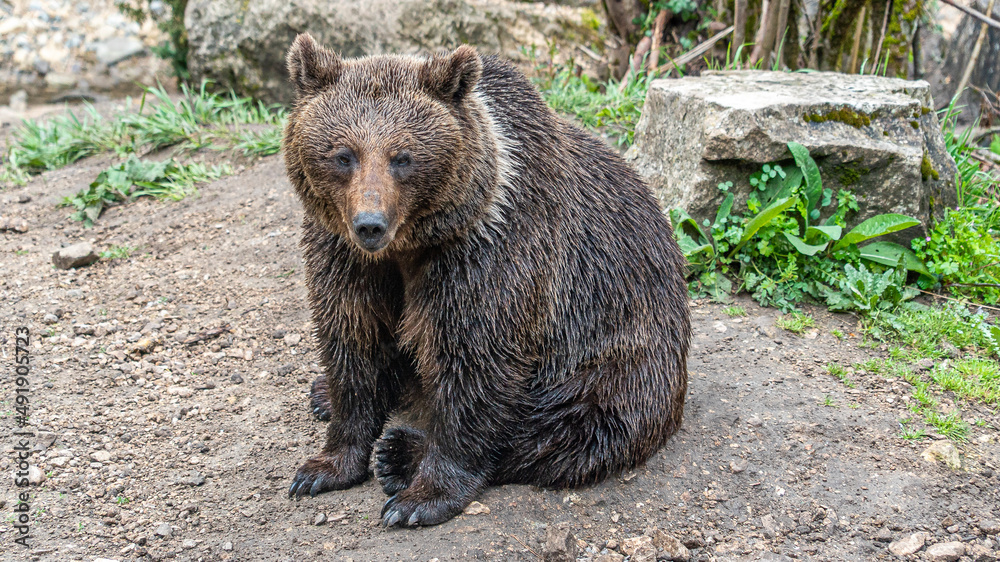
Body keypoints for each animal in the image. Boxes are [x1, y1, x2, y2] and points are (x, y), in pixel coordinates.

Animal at [283, 33, 690, 528]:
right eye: (343, 155)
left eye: (403, 158)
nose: (370, 224)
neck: (409, 247)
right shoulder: (344, 258)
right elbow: (353, 342)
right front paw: (323, 466)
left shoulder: (488, 252)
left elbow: (475, 360)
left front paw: (420, 498)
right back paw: (324, 394)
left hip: (620, 347)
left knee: (578, 423)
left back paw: (400, 453)